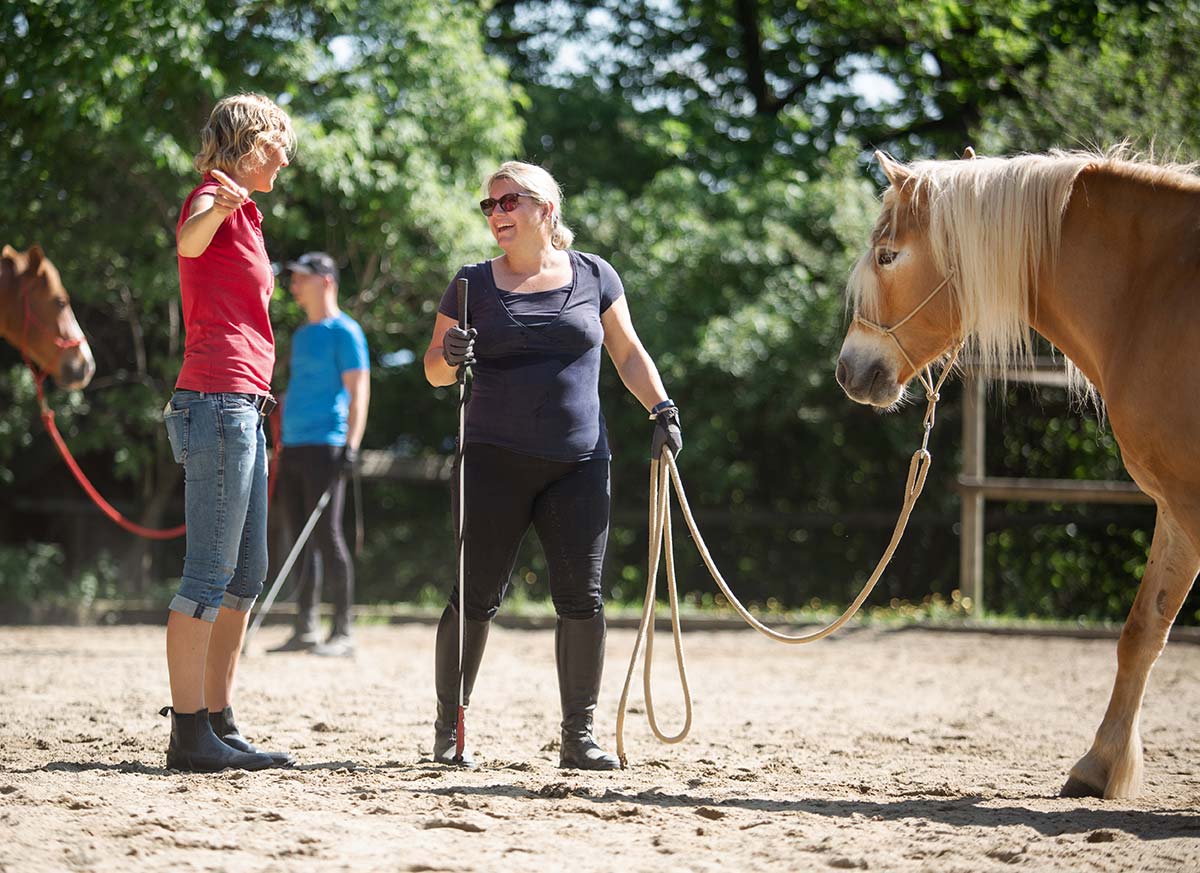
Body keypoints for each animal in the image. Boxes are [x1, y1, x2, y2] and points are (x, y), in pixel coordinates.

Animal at [835, 146, 1200, 801]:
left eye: (887, 255)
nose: (848, 370)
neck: (1150, 292)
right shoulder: (1175, 501)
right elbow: (1142, 631)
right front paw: (1100, 766)